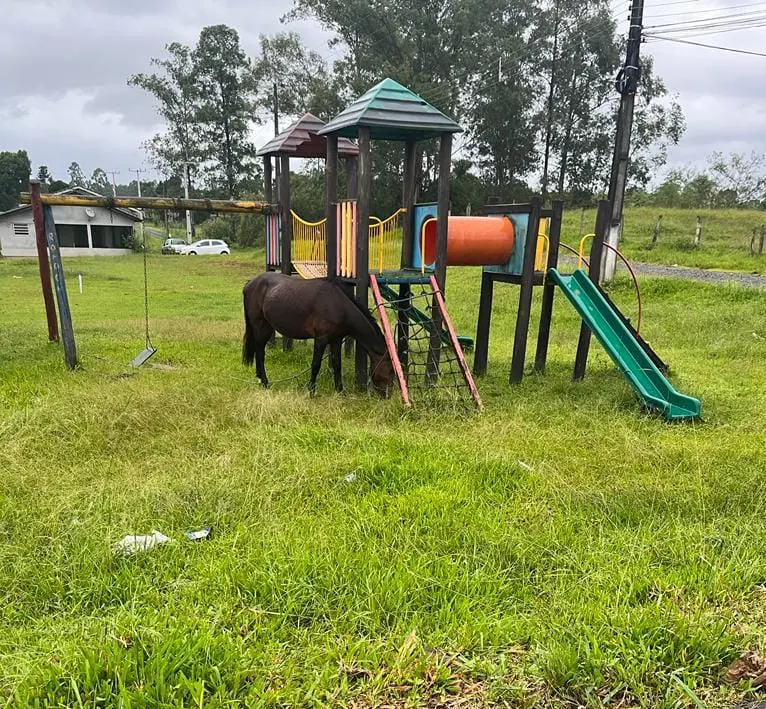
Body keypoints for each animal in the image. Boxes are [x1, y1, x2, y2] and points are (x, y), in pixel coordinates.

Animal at [242, 272, 396, 396]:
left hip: (267, 327)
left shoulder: (336, 340)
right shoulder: (321, 339)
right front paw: (311, 391)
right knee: (260, 351)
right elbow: (316, 365)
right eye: (390, 370)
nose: (387, 395)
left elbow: (337, 365)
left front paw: (340, 391)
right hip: (260, 326)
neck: (338, 306)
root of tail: (250, 283)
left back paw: (259, 378)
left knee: (259, 350)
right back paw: (264, 382)